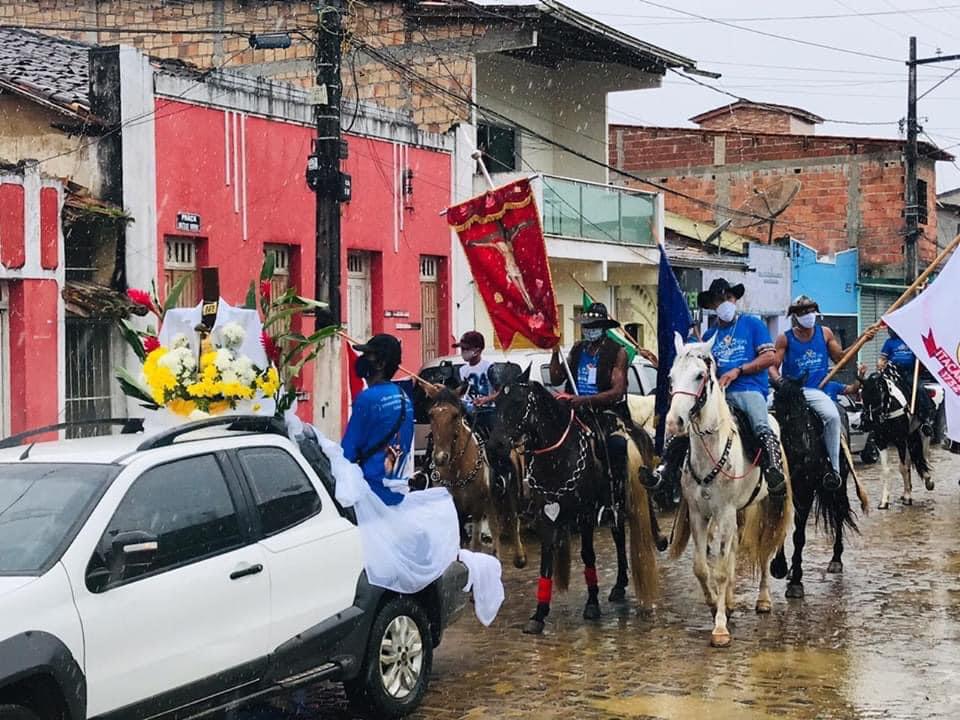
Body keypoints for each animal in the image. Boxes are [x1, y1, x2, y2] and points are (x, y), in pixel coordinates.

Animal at [420, 382, 524, 568]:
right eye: (431, 415)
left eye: (455, 415)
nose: (440, 457)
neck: (457, 471)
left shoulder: (476, 508)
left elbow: (475, 544)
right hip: (490, 500)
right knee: (494, 525)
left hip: (509, 491)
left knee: (512, 518)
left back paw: (519, 558)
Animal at [488, 366, 660, 636]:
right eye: (496, 402)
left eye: (517, 402)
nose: (495, 446)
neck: (558, 456)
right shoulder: (547, 515)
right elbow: (546, 559)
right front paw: (539, 614)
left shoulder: (585, 515)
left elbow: (588, 554)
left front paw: (592, 603)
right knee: (619, 538)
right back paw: (619, 585)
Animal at [664, 334, 792, 648]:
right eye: (671, 377)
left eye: (700, 375)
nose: (673, 422)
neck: (712, 451)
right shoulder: (700, 514)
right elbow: (702, 566)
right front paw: (715, 605)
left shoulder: (723, 512)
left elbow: (721, 569)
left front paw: (720, 628)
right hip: (737, 513)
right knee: (732, 549)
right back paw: (732, 600)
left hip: (764, 507)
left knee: (764, 550)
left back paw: (763, 600)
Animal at [764, 376, 872, 596]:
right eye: (781, 412)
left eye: (804, 409)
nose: (802, 449)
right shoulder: (778, 491)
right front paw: (780, 567)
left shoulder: (804, 492)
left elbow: (799, 536)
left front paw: (796, 581)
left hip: (839, 484)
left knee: (839, 514)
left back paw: (836, 560)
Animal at [864, 368, 928, 510]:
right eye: (863, 395)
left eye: (880, 395)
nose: (869, 420)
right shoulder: (880, 442)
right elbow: (886, 470)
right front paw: (884, 501)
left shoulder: (900, 440)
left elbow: (903, 467)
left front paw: (908, 497)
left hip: (912, 436)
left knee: (914, 460)